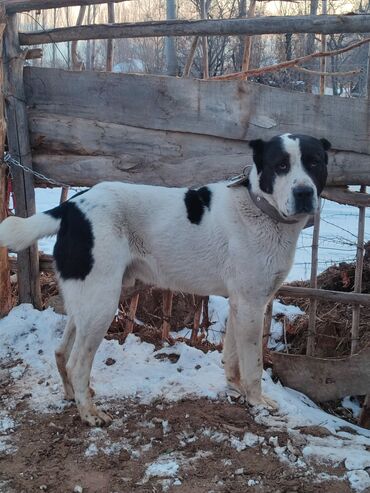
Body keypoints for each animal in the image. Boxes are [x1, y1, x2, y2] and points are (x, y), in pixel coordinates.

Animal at [0, 133, 330, 424]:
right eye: (281, 165)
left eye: (314, 162)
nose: (304, 193)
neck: (259, 206)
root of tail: (70, 207)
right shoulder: (251, 305)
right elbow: (253, 365)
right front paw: (257, 401)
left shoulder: (240, 304)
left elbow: (232, 357)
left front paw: (235, 389)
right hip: (102, 304)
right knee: (77, 362)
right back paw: (90, 414)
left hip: (89, 299)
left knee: (60, 352)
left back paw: (73, 396)